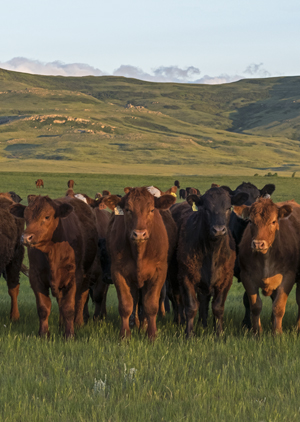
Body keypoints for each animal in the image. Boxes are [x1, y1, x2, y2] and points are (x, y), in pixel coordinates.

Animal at [9, 194, 97, 336]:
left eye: (47, 216)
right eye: (26, 216)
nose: (26, 237)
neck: (52, 252)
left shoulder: (74, 277)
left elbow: (69, 307)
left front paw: (69, 334)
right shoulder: (35, 277)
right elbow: (43, 307)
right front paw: (43, 334)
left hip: (87, 274)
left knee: (81, 298)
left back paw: (78, 323)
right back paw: (61, 325)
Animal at [102, 188, 176, 340]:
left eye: (152, 209)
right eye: (128, 210)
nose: (139, 234)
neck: (139, 252)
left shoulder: (159, 273)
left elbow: (151, 305)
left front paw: (152, 334)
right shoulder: (118, 272)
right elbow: (126, 305)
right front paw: (125, 335)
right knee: (135, 300)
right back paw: (135, 323)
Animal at [236, 197, 300, 332]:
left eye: (274, 221)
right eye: (250, 221)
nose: (258, 244)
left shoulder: (288, 276)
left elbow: (278, 307)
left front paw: (277, 332)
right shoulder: (246, 276)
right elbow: (255, 307)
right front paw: (257, 332)